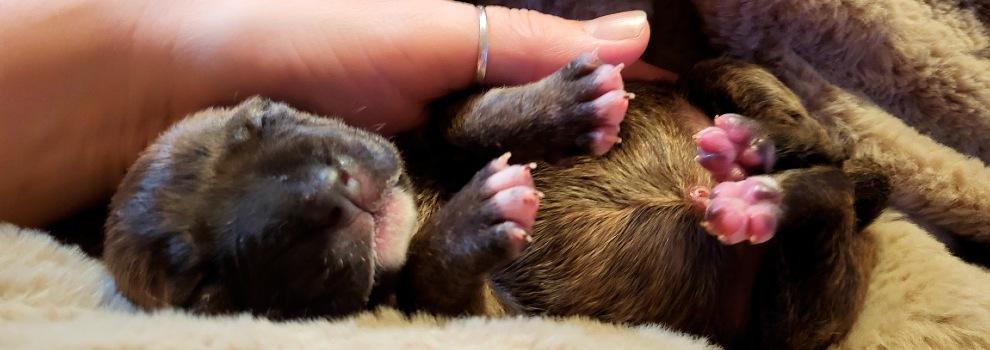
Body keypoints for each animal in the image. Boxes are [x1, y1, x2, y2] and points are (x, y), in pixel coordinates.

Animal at [104, 54, 888, 348]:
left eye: (259, 118)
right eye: (204, 287)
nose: (330, 195)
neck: (422, 197)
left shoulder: (437, 116)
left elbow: (465, 116)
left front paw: (564, 103)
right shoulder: (490, 316)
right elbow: (440, 277)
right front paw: (473, 220)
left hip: (726, 76)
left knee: (829, 145)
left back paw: (760, 143)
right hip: (796, 316)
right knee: (828, 202)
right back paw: (760, 196)